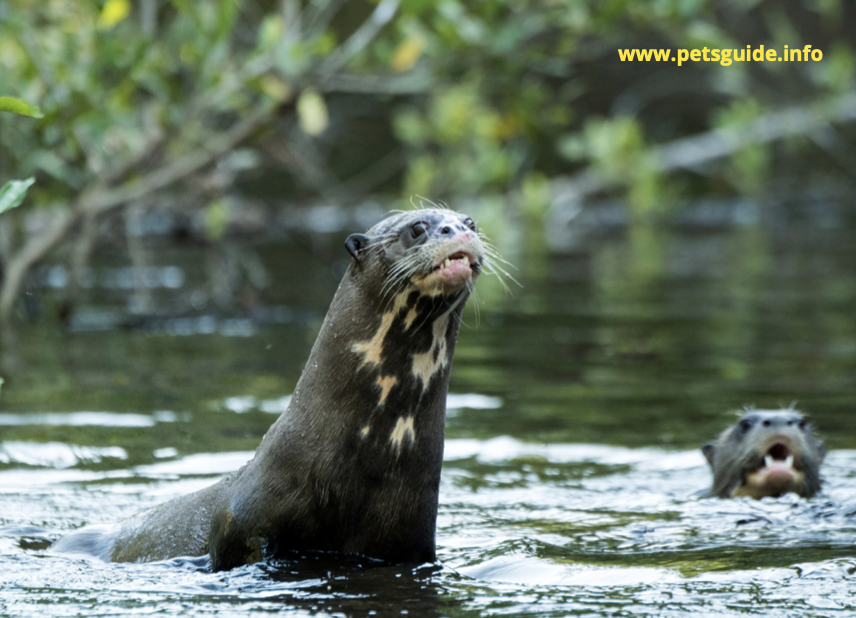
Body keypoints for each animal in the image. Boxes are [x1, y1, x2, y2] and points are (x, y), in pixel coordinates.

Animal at [53, 209, 494, 572]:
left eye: (470, 222)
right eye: (418, 227)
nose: (459, 230)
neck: (365, 457)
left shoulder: (412, 540)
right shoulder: (242, 519)